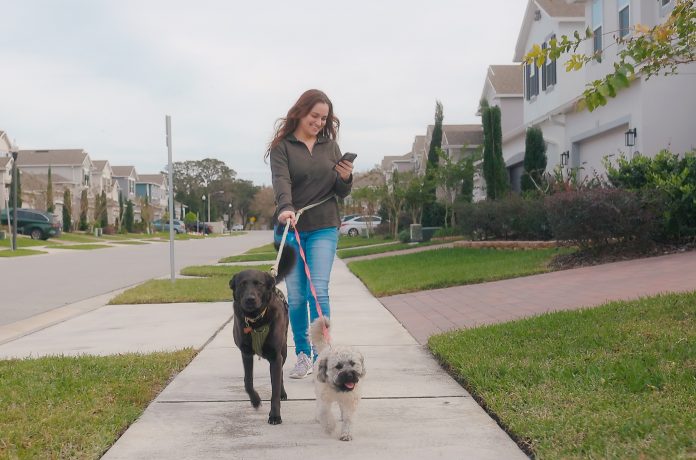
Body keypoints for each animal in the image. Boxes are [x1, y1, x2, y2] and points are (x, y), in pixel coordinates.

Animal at [228, 243, 294, 426]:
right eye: (242, 284)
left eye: (259, 284)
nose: (250, 299)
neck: (256, 319)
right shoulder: (246, 354)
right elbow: (248, 382)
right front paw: (255, 400)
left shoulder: (276, 356)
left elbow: (274, 390)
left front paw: (275, 415)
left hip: (283, 350)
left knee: (280, 375)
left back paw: (283, 393)